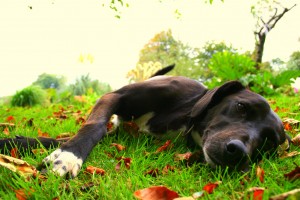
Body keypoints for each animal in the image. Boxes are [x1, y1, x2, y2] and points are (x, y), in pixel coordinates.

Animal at [1, 65, 290, 177]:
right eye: (242, 107)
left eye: (268, 143)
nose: (238, 152)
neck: (185, 114)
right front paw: (68, 157)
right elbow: (92, 127)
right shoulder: (114, 97)